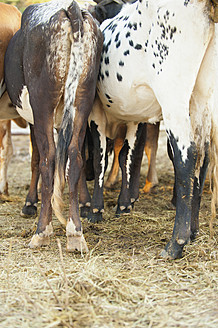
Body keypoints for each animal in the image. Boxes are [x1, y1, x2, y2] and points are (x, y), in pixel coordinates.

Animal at [4, 0, 103, 252]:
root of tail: (72, 9)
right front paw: (85, 202)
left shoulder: (33, 119)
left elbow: (36, 159)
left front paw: (30, 203)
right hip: (82, 100)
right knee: (75, 155)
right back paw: (75, 232)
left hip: (42, 105)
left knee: (48, 158)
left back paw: (42, 231)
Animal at [85, 0, 218, 258]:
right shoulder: (134, 117)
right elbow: (126, 155)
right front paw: (123, 205)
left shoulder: (96, 112)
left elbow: (101, 159)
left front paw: (96, 211)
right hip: (200, 97)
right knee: (203, 156)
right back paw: (193, 232)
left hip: (173, 94)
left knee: (187, 156)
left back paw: (176, 243)